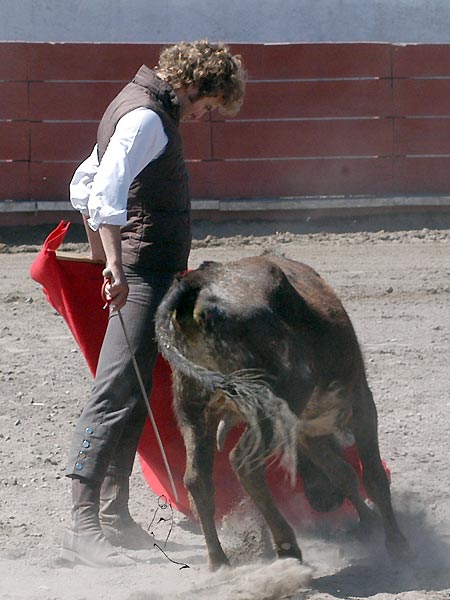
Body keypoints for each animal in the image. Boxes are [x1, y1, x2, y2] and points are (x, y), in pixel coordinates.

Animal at [155, 255, 410, 570]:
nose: (326, 502)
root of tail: (197, 282)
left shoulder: (305, 430)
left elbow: (342, 472)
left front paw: (370, 522)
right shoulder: (361, 404)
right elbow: (372, 477)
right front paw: (398, 545)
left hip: (193, 410)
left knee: (197, 479)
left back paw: (219, 562)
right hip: (272, 407)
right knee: (245, 464)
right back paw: (287, 548)